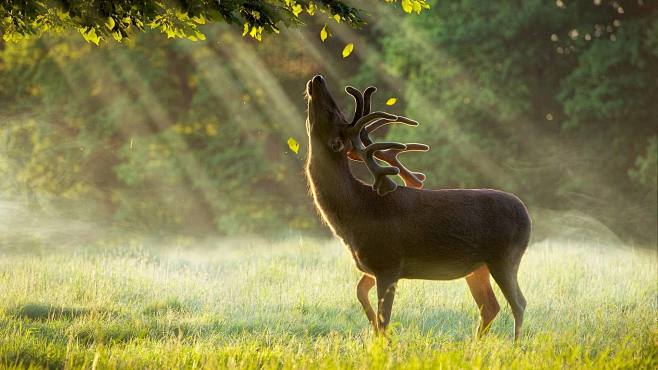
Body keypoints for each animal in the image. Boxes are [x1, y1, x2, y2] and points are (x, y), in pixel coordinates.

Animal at [304, 75, 532, 342]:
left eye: (331, 113)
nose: (318, 79)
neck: (355, 213)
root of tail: (527, 215)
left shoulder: (388, 262)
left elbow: (384, 318)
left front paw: (383, 341)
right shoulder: (373, 266)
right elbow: (360, 293)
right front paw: (375, 333)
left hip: (505, 256)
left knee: (518, 303)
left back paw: (515, 345)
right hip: (477, 267)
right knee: (490, 306)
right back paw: (476, 344)